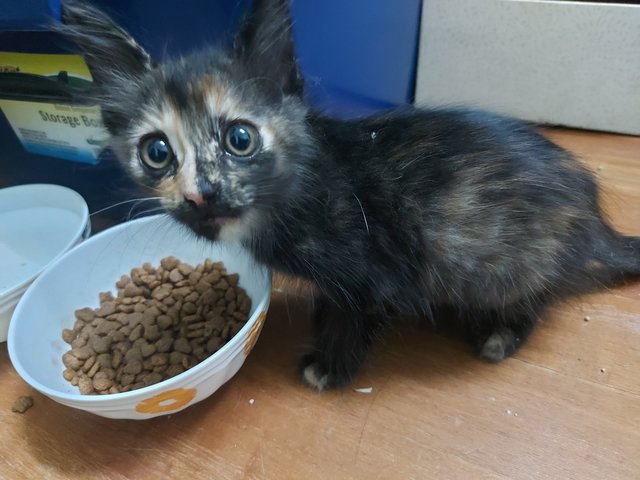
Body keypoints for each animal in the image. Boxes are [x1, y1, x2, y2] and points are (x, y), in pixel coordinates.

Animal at [58, 0, 636, 390]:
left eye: (240, 139)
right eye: (157, 152)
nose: (202, 195)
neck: (296, 189)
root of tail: (593, 224)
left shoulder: (374, 273)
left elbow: (352, 317)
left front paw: (328, 367)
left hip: (499, 264)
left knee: (535, 296)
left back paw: (501, 335)